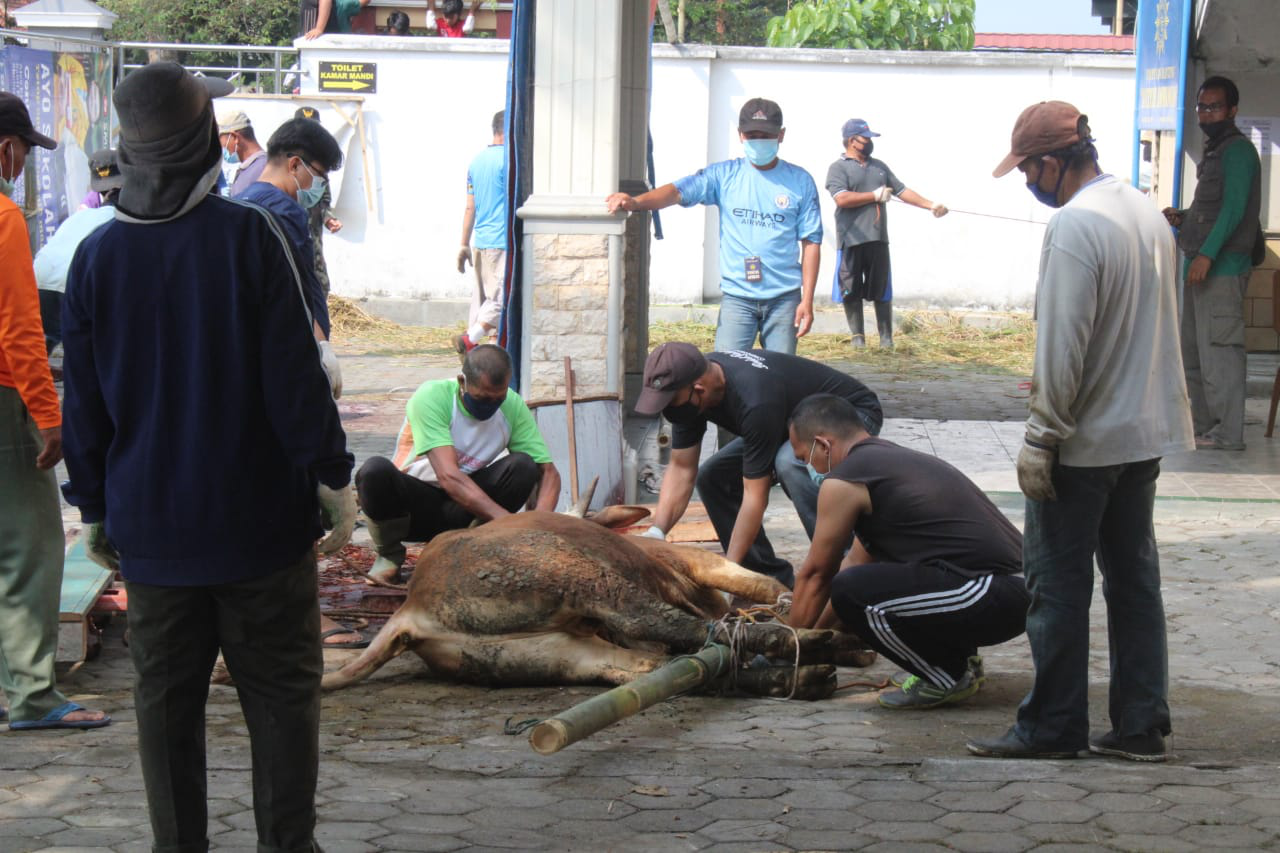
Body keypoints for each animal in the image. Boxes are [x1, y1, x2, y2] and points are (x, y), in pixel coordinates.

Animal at [320, 507, 870, 696]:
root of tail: (409, 611)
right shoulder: (698, 563)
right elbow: (762, 585)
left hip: (547, 655)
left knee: (661, 666)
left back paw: (804, 675)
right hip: (583, 579)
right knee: (687, 632)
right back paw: (818, 644)